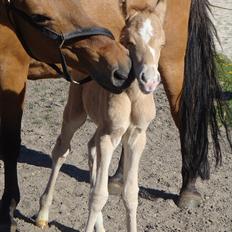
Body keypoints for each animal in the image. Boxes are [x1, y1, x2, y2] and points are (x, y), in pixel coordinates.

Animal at [36, 3, 166, 232]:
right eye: (129, 41)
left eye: (162, 42)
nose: (149, 81)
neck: (132, 95)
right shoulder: (110, 135)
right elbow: (99, 195)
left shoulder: (137, 137)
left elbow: (130, 194)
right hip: (76, 113)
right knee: (61, 150)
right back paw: (43, 214)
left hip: (101, 124)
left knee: (91, 147)